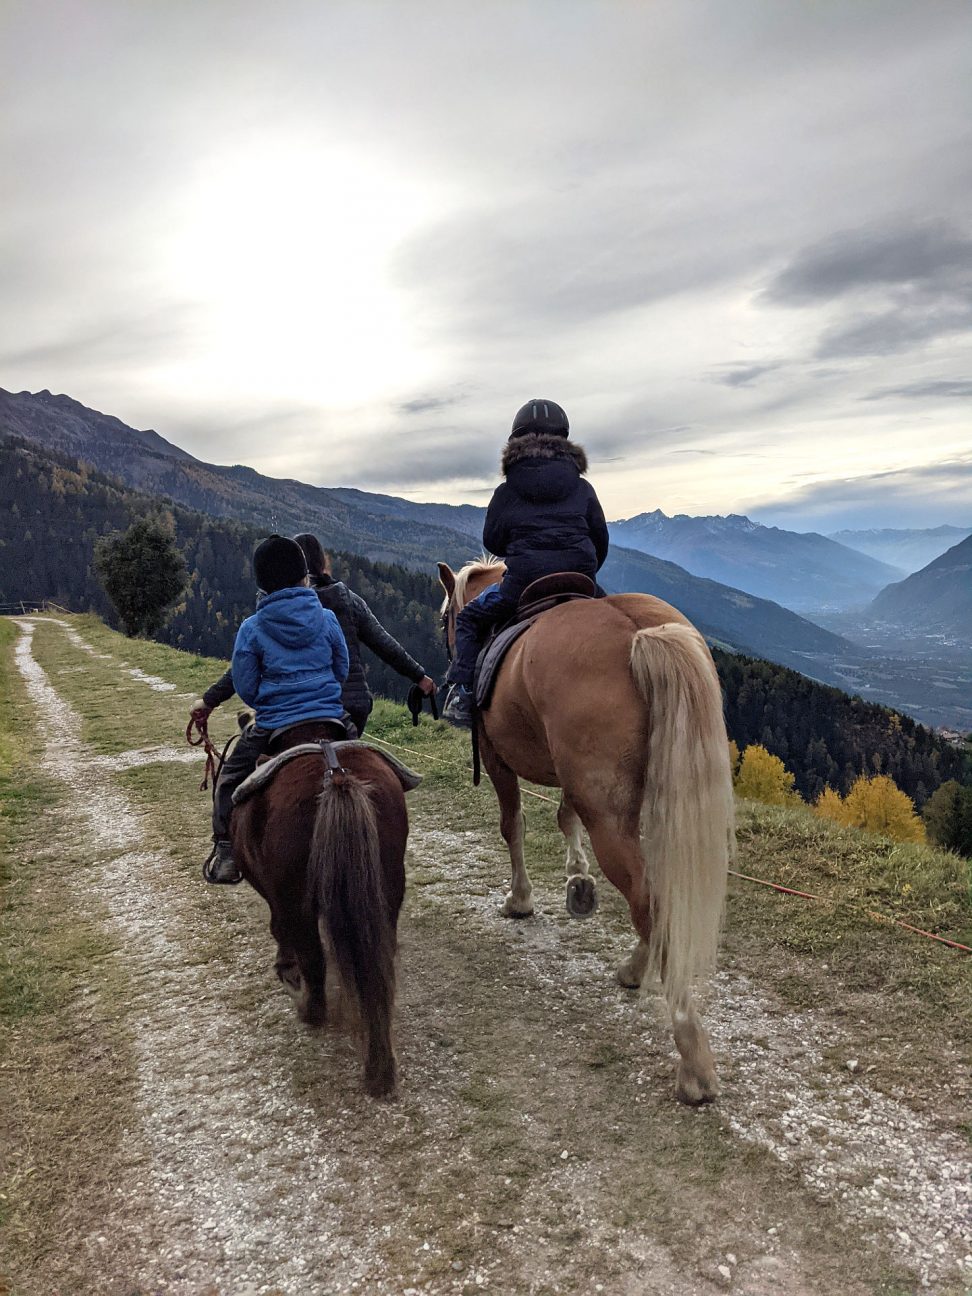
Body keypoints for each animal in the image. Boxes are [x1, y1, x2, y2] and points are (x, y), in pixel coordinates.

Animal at [231, 725, 414, 1099]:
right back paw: (380, 1070)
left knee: (313, 958)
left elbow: (279, 930)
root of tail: (337, 776)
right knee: (378, 966)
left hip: (296, 899)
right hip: (385, 896)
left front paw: (285, 968)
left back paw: (307, 1008)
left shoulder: (277, 897)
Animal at [438, 557, 736, 1104]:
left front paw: (521, 899)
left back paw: (691, 1058)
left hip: (610, 815)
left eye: (448, 616)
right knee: (654, 896)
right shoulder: (570, 780)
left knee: (648, 900)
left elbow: (513, 824)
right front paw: (578, 881)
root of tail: (638, 632)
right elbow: (564, 816)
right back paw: (635, 972)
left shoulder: (495, 757)